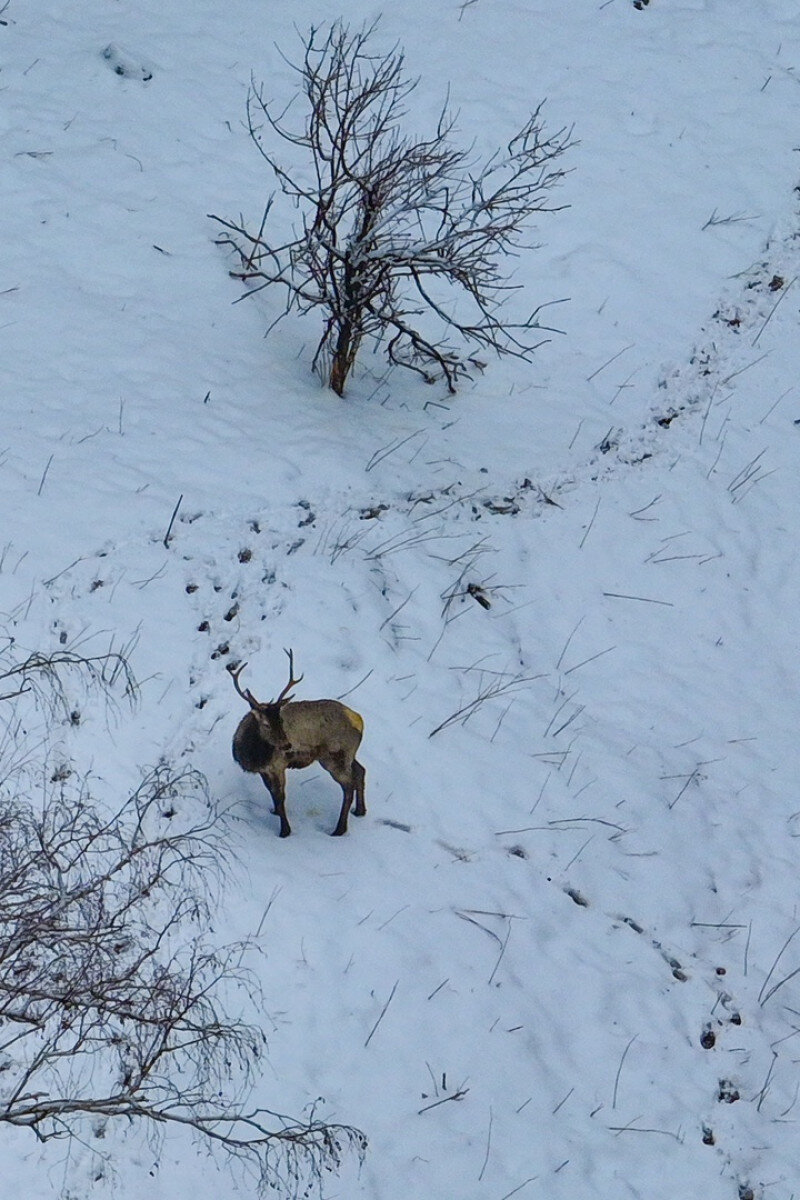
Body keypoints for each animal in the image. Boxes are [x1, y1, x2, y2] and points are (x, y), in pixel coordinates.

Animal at [230, 652, 367, 840]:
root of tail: (359, 719)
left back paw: (339, 829)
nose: (287, 744)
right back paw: (360, 811)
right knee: (361, 770)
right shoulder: (264, 770)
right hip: (349, 754)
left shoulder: (278, 764)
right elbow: (271, 791)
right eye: (266, 724)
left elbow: (280, 796)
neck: (254, 755)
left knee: (348, 786)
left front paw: (284, 831)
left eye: (281, 720)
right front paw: (274, 811)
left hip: (334, 756)